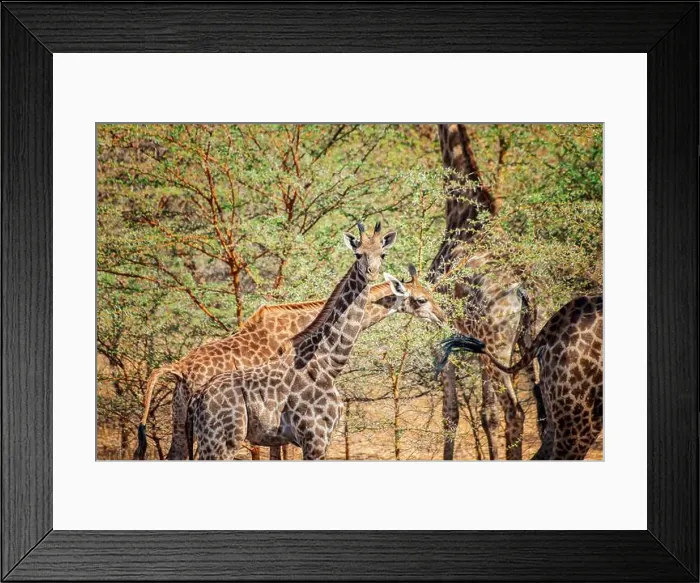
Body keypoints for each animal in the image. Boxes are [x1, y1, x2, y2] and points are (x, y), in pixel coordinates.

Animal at [188, 222, 397, 460]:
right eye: (358, 253)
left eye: (382, 254)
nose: (371, 273)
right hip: (220, 442)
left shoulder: (323, 439)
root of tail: (198, 398)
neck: (328, 365)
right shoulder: (314, 438)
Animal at [428, 123, 537, 461]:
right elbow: (481, 412)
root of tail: (524, 291)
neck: (463, 214)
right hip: (529, 341)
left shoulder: (439, 333)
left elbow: (451, 413)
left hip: (498, 345)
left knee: (513, 411)